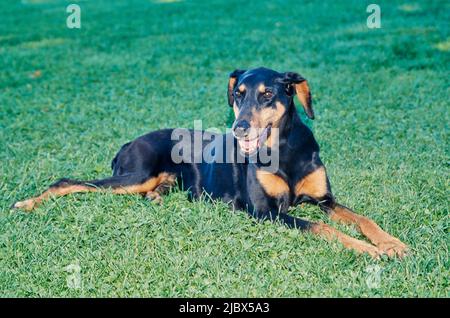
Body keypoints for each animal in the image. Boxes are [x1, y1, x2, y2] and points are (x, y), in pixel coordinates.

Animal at [13, 67, 408, 258]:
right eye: (238, 94)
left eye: (268, 95)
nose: (239, 127)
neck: (283, 149)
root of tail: (130, 140)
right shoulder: (266, 213)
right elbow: (324, 228)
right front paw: (368, 250)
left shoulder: (324, 200)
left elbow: (362, 219)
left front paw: (391, 243)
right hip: (133, 175)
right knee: (66, 181)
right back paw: (27, 203)